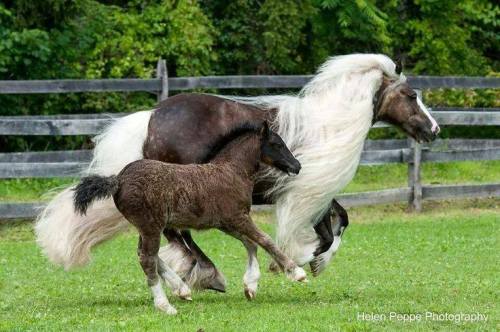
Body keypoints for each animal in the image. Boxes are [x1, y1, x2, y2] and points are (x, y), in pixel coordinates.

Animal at [37, 53, 440, 288]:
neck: (326, 125)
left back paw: (195, 274)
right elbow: (327, 231)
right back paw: (206, 274)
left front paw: (311, 262)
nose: (434, 130)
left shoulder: (313, 190)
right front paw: (300, 261)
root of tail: (151, 117)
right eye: (411, 96)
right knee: (176, 232)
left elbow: (339, 222)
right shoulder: (305, 190)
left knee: (173, 234)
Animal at [72, 122, 302, 314]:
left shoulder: (226, 223)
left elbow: (251, 243)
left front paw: (250, 286)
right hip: (151, 226)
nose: (297, 166)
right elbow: (265, 240)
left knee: (146, 255)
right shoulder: (238, 218)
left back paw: (181, 289)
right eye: (277, 144)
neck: (232, 171)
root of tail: (118, 179)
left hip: (148, 227)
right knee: (147, 257)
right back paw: (165, 305)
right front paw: (296, 272)